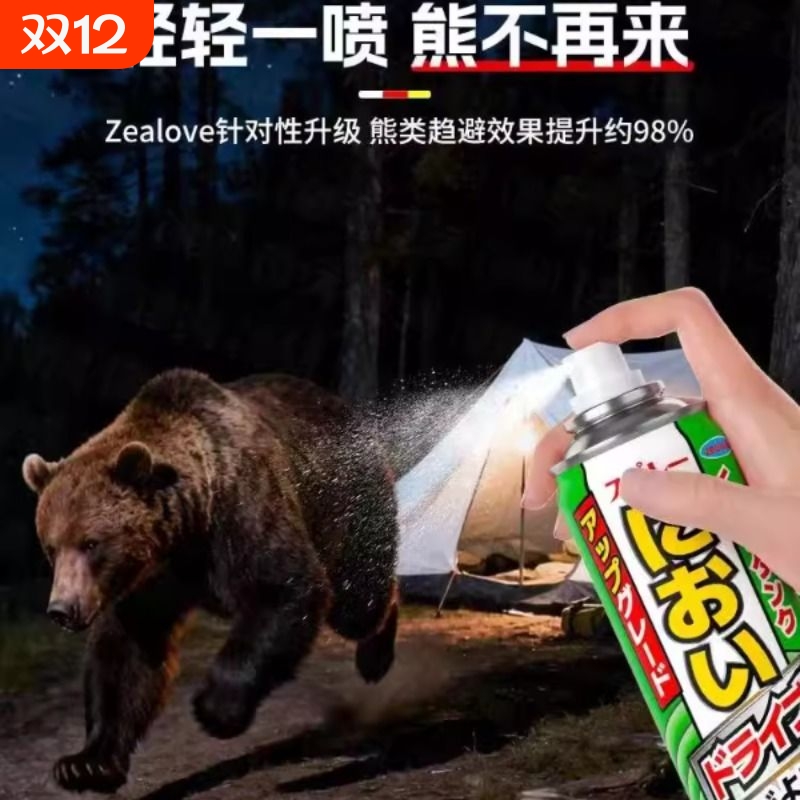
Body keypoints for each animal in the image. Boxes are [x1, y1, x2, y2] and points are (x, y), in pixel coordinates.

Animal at [22, 369, 399, 794]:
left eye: (91, 543)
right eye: (51, 547)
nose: (62, 609)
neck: (184, 534)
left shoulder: (241, 509)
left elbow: (283, 586)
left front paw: (215, 709)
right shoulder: (152, 582)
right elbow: (125, 655)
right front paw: (85, 764)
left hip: (342, 503)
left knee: (359, 600)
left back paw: (375, 656)